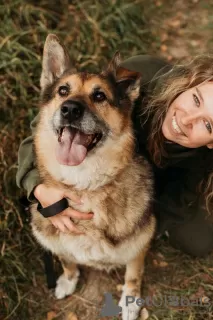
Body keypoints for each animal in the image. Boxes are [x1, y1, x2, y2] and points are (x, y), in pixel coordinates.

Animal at [30, 34, 156, 320]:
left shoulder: (141, 240)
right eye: (62, 91)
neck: (83, 186)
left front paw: (130, 300)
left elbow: (133, 275)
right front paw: (68, 279)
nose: (70, 110)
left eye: (99, 95)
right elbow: (66, 259)